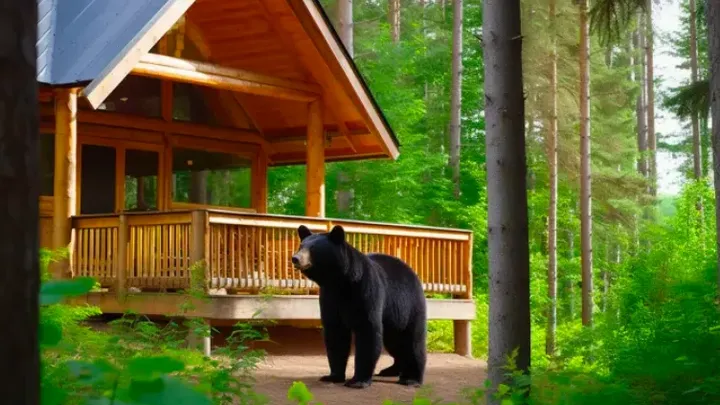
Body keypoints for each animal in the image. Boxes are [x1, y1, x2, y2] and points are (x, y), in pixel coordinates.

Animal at [291, 224, 427, 389]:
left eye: (313, 248)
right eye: (301, 246)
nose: (295, 258)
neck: (340, 282)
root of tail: (412, 271)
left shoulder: (365, 291)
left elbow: (367, 330)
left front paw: (358, 380)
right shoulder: (329, 298)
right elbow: (335, 332)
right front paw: (333, 376)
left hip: (409, 306)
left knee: (413, 341)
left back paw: (411, 378)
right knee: (394, 342)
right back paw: (390, 370)